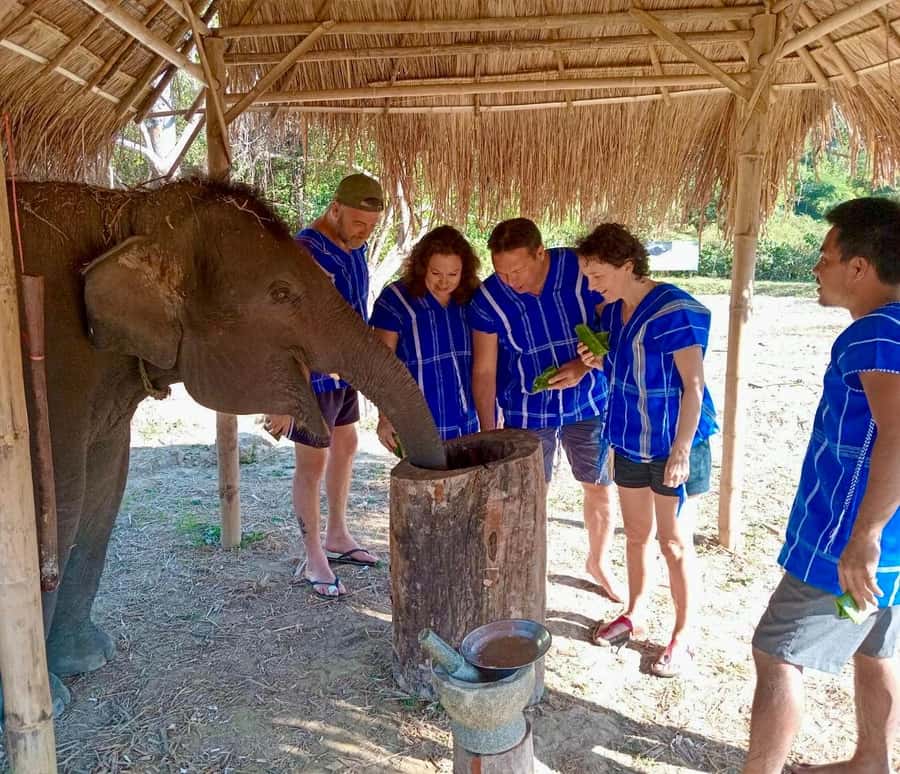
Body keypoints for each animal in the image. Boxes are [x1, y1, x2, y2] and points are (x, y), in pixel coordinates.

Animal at [2, 178, 446, 714]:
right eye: (281, 293)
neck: (129, 212)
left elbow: (105, 490)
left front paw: (90, 660)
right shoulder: (47, 372)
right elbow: (58, 499)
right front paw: (53, 701)